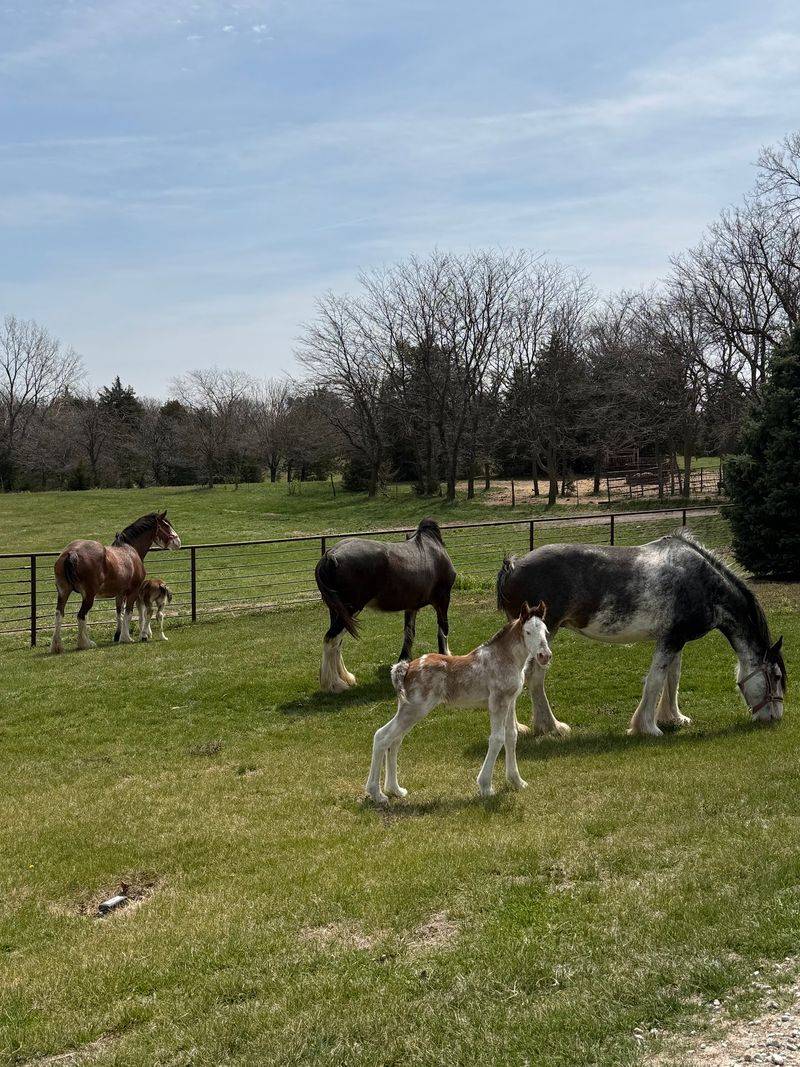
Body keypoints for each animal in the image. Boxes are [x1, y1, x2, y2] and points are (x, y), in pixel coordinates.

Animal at [50, 511, 181, 653]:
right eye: (166, 525)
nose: (178, 542)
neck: (130, 549)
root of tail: (72, 552)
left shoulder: (120, 593)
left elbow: (120, 613)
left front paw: (118, 635)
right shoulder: (133, 592)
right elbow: (129, 613)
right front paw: (126, 638)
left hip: (63, 591)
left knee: (59, 614)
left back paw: (57, 646)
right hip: (89, 595)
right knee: (81, 616)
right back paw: (85, 643)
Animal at [315, 517, 456, 693]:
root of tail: (330, 555)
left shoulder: (411, 606)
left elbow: (409, 633)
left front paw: (403, 663)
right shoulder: (443, 599)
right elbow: (443, 630)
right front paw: (445, 657)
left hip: (339, 612)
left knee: (336, 643)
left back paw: (346, 677)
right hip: (350, 610)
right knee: (331, 640)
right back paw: (335, 684)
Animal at [365, 602, 552, 804]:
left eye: (545, 631)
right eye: (528, 632)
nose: (544, 655)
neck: (505, 658)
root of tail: (405, 668)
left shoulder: (510, 702)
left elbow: (511, 736)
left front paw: (517, 781)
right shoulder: (497, 702)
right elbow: (497, 739)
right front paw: (486, 786)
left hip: (408, 710)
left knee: (395, 740)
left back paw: (395, 789)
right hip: (415, 709)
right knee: (382, 736)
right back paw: (377, 793)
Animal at [496, 530, 786, 737]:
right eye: (776, 676)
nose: (775, 717)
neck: (702, 584)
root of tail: (513, 566)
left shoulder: (675, 640)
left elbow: (673, 678)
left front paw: (673, 718)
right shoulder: (670, 640)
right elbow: (656, 680)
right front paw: (648, 727)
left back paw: (518, 728)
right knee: (534, 678)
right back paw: (551, 727)